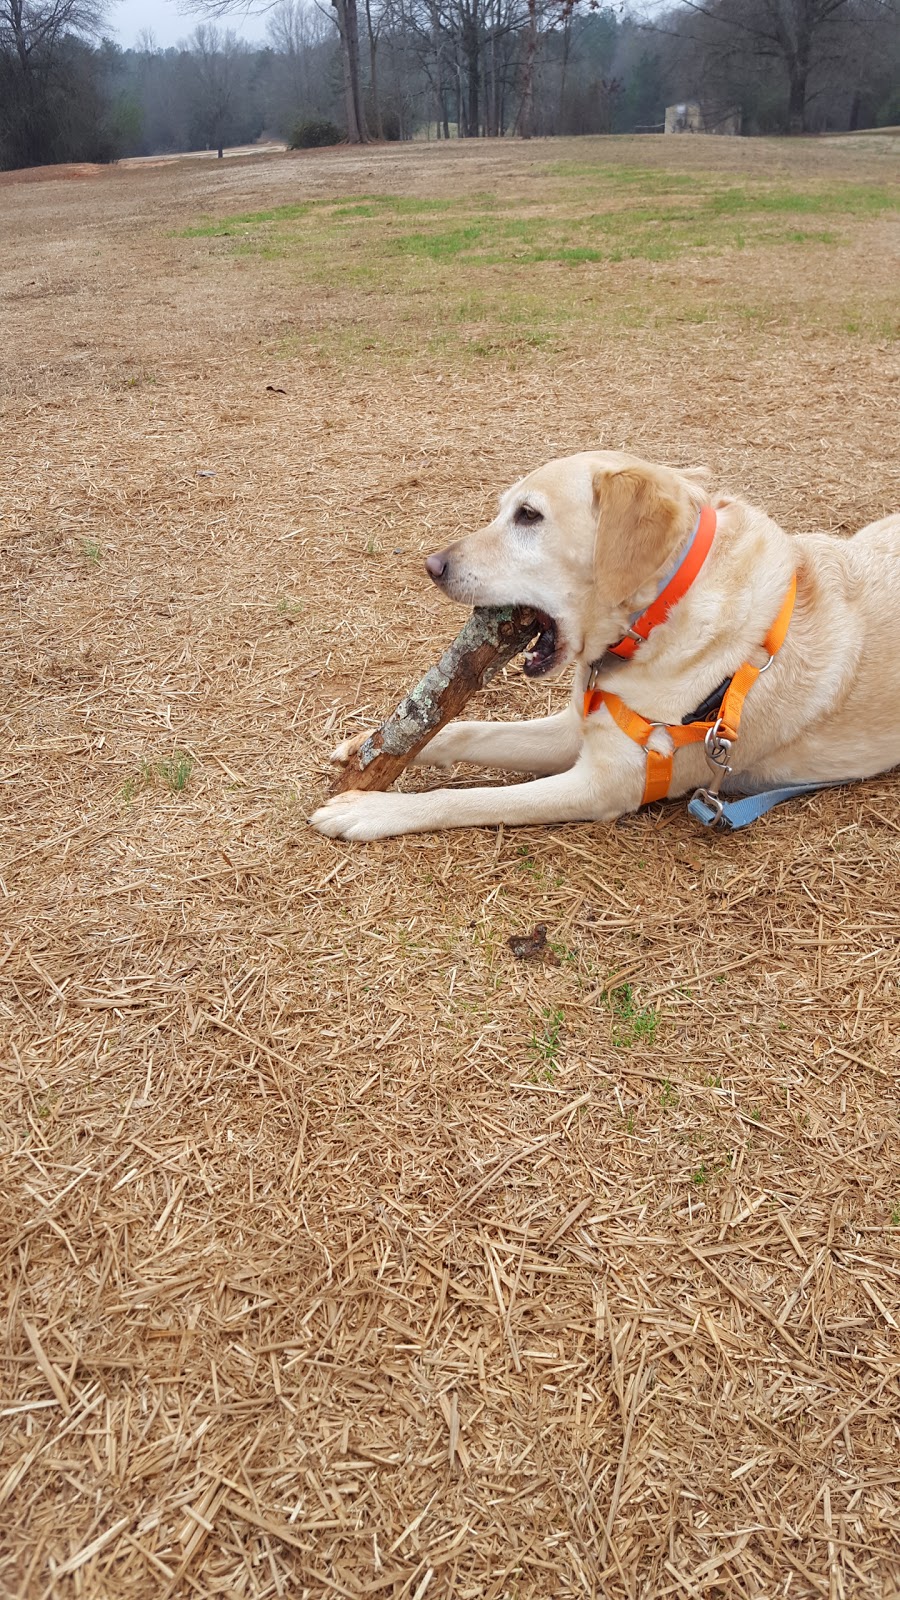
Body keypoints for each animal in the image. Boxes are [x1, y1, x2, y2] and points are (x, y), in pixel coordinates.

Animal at [310, 454, 896, 838]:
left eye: (528, 515)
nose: (432, 566)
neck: (658, 618)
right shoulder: (577, 726)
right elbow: (467, 729)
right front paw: (365, 745)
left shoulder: (608, 784)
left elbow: (467, 799)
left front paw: (370, 810)